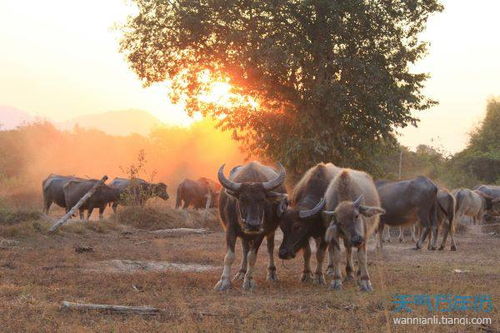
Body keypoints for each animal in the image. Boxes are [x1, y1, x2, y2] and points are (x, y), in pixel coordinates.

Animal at [214, 161, 288, 290]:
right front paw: (224, 282)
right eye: (242, 199)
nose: (253, 225)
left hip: (270, 231)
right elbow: (229, 256)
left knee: (270, 248)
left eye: (262, 199)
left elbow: (252, 257)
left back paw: (271, 273)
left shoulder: (261, 232)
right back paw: (241, 273)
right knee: (245, 249)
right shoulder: (230, 229)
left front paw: (248, 281)